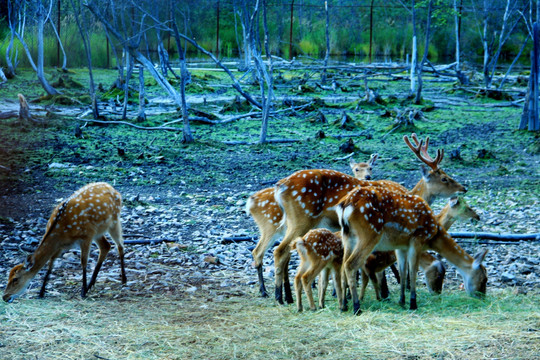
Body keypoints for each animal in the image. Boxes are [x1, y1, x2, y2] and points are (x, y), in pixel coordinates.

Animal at [272, 132, 466, 304]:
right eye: (444, 178)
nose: (463, 188)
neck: (411, 194)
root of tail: (279, 187)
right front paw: (384, 291)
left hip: (291, 222)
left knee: (286, 251)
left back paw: (288, 297)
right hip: (302, 218)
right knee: (280, 250)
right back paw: (279, 297)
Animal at [336, 187, 488, 314]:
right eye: (484, 279)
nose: (482, 296)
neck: (433, 234)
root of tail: (345, 205)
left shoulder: (401, 246)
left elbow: (403, 271)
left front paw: (401, 301)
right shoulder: (417, 239)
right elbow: (414, 271)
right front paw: (413, 304)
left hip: (348, 236)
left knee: (343, 265)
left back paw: (343, 306)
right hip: (369, 233)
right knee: (351, 264)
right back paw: (356, 307)